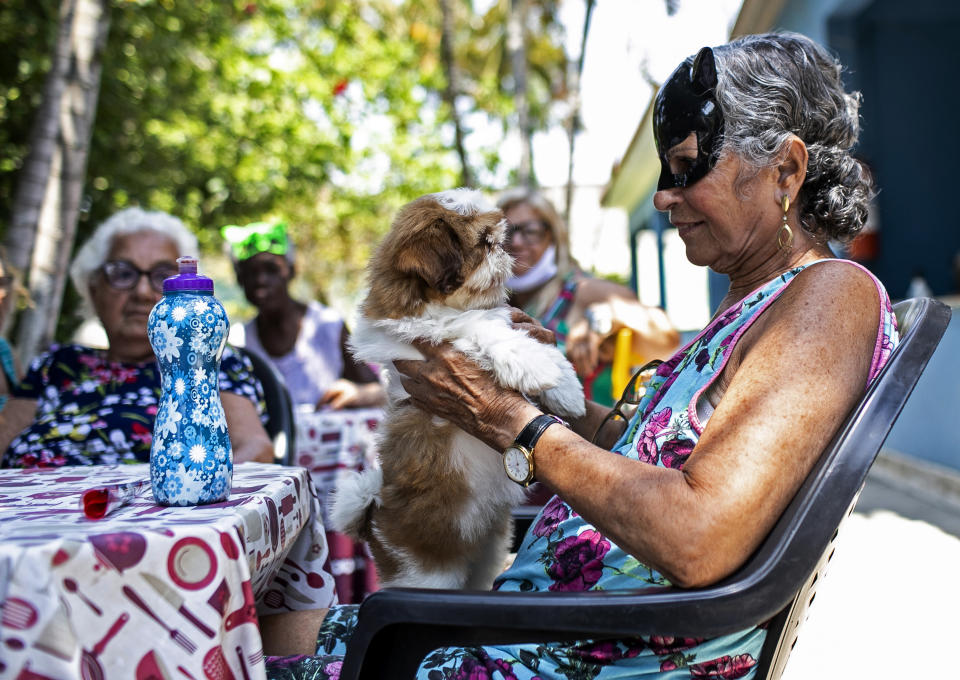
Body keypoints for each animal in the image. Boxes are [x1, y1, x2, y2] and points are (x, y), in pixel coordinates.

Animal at [330, 187, 584, 588]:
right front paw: (536, 365)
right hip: (427, 574)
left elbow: (526, 333)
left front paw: (566, 389)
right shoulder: (417, 337)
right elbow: (479, 327)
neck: (442, 305)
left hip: (486, 552)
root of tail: (372, 519)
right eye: (484, 241)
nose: (504, 249)